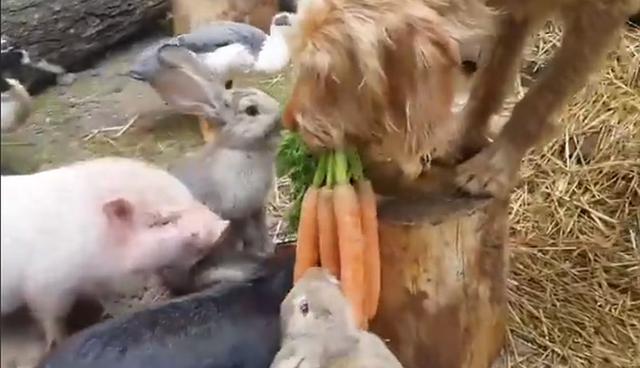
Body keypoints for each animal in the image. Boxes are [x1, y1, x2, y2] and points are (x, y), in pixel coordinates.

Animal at [0, 156, 230, 350]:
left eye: (190, 197)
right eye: (161, 221)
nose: (223, 227)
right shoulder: (46, 284)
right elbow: (51, 316)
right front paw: (58, 341)